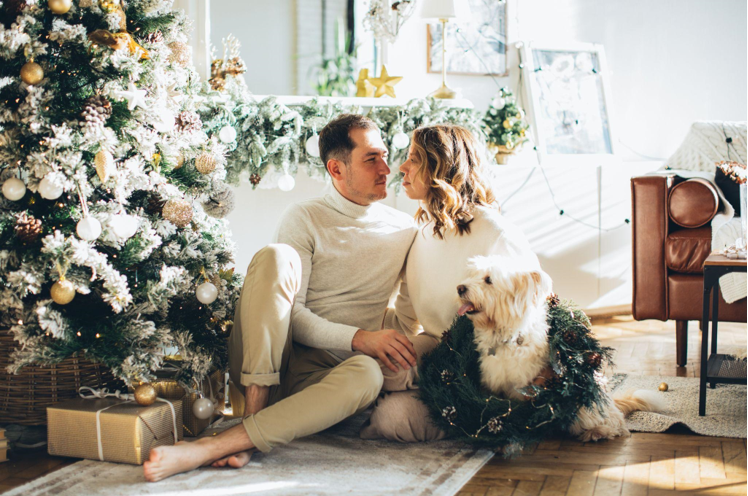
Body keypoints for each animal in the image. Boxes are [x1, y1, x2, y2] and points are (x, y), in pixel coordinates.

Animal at [456, 256, 660, 442]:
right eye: (472, 275)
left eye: (488, 280)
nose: (460, 288)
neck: (506, 334)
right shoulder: (492, 381)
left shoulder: (523, 387)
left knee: (615, 423)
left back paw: (597, 431)